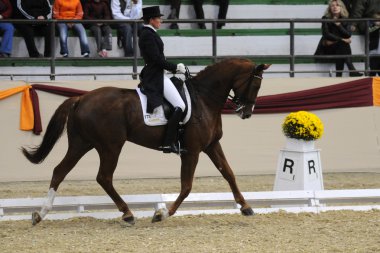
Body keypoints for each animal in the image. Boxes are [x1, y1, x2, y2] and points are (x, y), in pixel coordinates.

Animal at [22, 58, 270, 224]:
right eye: (256, 85)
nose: (246, 113)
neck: (204, 98)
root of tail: (81, 98)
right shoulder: (192, 151)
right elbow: (187, 186)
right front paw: (163, 213)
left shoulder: (211, 145)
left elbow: (229, 173)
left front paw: (246, 207)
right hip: (110, 146)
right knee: (103, 177)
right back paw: (128, 213)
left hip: (82, 143)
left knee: (60, 171)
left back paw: (40, 214)